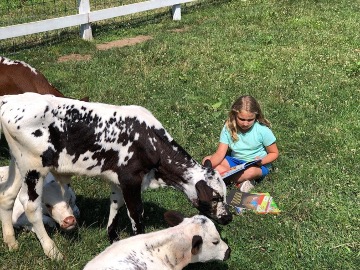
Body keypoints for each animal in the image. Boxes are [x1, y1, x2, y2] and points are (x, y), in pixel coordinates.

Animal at [0, 93, 232, 260]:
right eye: (215, 197)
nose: (228, 218)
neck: (151, 144)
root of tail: (11, 99)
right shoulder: (131, 180)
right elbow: (136, 213)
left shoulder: (119, 180)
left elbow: (115, 203)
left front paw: (112, 236)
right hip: (33, 167)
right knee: (30, 206)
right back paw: (52, 252)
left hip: (18, 163)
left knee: (7, 196)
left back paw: (11, 242)